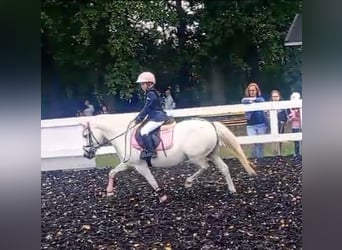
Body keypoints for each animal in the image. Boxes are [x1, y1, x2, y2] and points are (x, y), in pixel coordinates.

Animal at [81, 114, 256, 202]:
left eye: (84, 135)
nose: (86, 154)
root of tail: (210, 124)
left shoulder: (140, 166)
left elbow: (152, 181)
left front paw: (162, 196)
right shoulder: (128, 164)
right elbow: (111, 172)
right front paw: (109, 191)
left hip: (196, 157)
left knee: (205, 167)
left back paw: (188, 182)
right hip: (212, 154)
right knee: (224, 169)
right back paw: (232, 190)